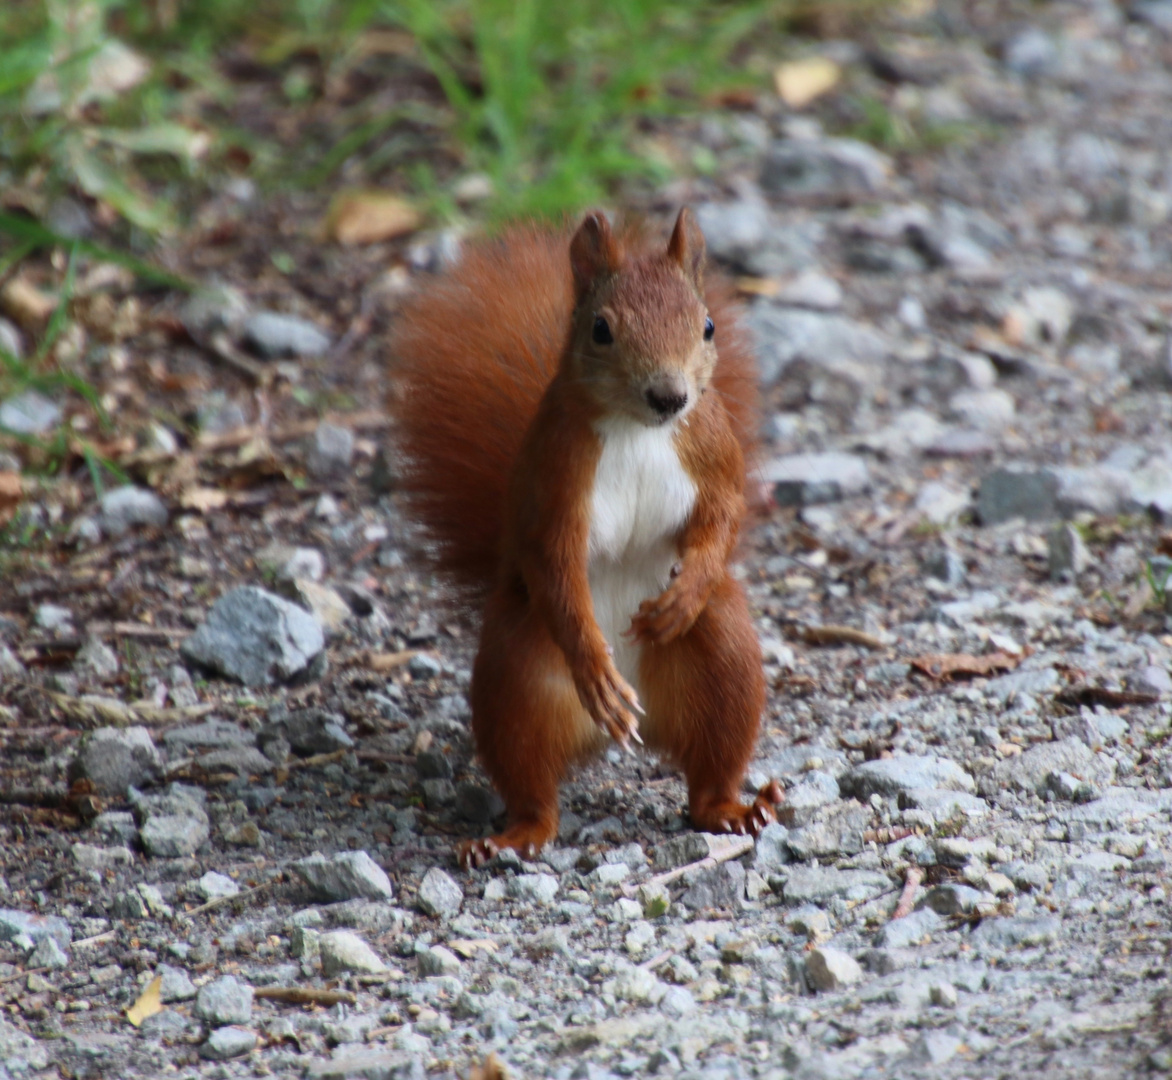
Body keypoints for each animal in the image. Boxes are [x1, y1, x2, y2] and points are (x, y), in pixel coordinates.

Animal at [389, 208, 782, 866]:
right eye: (601, 329)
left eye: (707, 326)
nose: (669, 395)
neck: (639, 428)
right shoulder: (555, 483)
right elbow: (555, 564)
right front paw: (595, 668)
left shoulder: (713, 453)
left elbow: (722, 520)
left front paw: (681, 597)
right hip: (517, 676)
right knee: (532, 786)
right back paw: (512, 835)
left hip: (723, 659)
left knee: (710, 769)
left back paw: (733, 808)